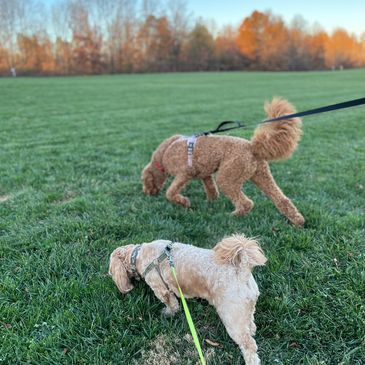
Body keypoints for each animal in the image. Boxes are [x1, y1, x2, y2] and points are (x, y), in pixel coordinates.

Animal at [142, 98, 304, 226]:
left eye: (144, 181)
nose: (146, 193)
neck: (164, 153)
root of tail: (252, 147)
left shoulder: (184, 174)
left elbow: (170, 193)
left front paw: (184, 202)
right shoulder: (205, 174)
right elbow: (211, 189)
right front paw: (211, 202)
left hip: (227, 177)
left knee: (246, 203)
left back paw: (233, 216)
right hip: (262, 175)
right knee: (282, 200)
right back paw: (298, 221)